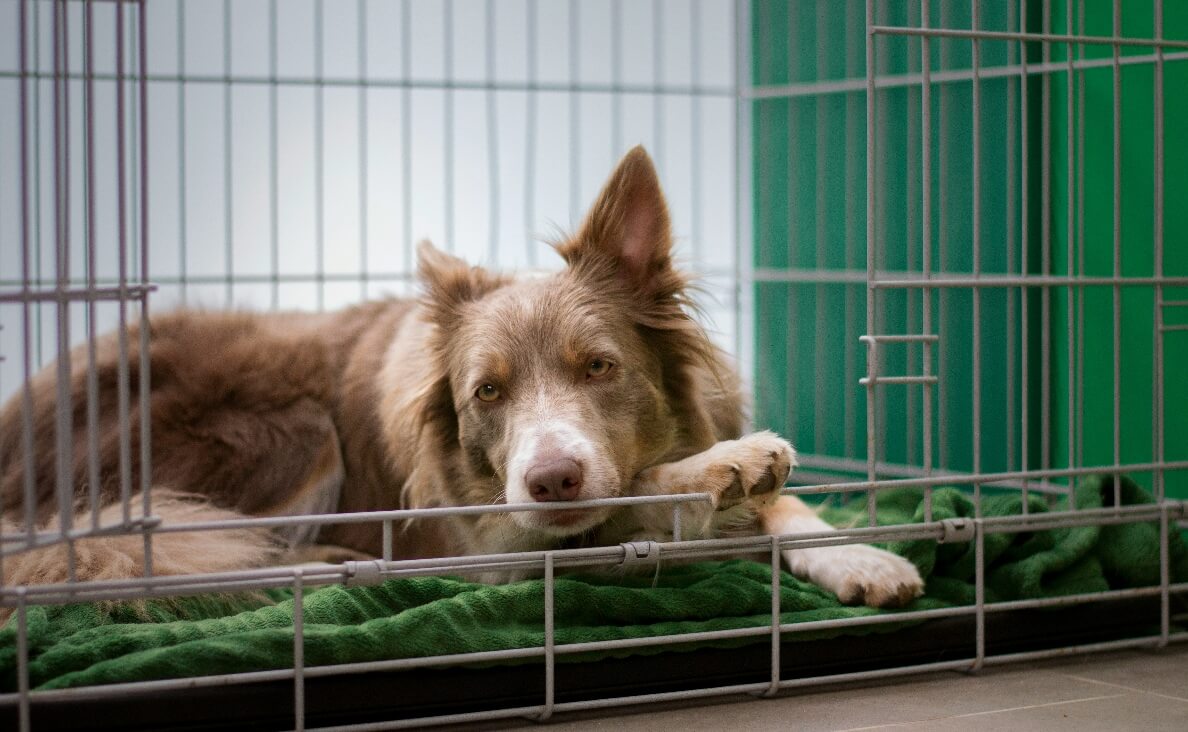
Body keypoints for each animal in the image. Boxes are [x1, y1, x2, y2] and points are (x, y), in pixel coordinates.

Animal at [0, 145, 921, 608]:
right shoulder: (496, 544)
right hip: (290, 427)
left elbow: (787, 506)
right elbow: (630, 498)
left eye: (600, 367)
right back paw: (322, 564)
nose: (551, 478)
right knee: (177, 551)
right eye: (487, 392)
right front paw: (722, 470)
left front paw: (859, 554)